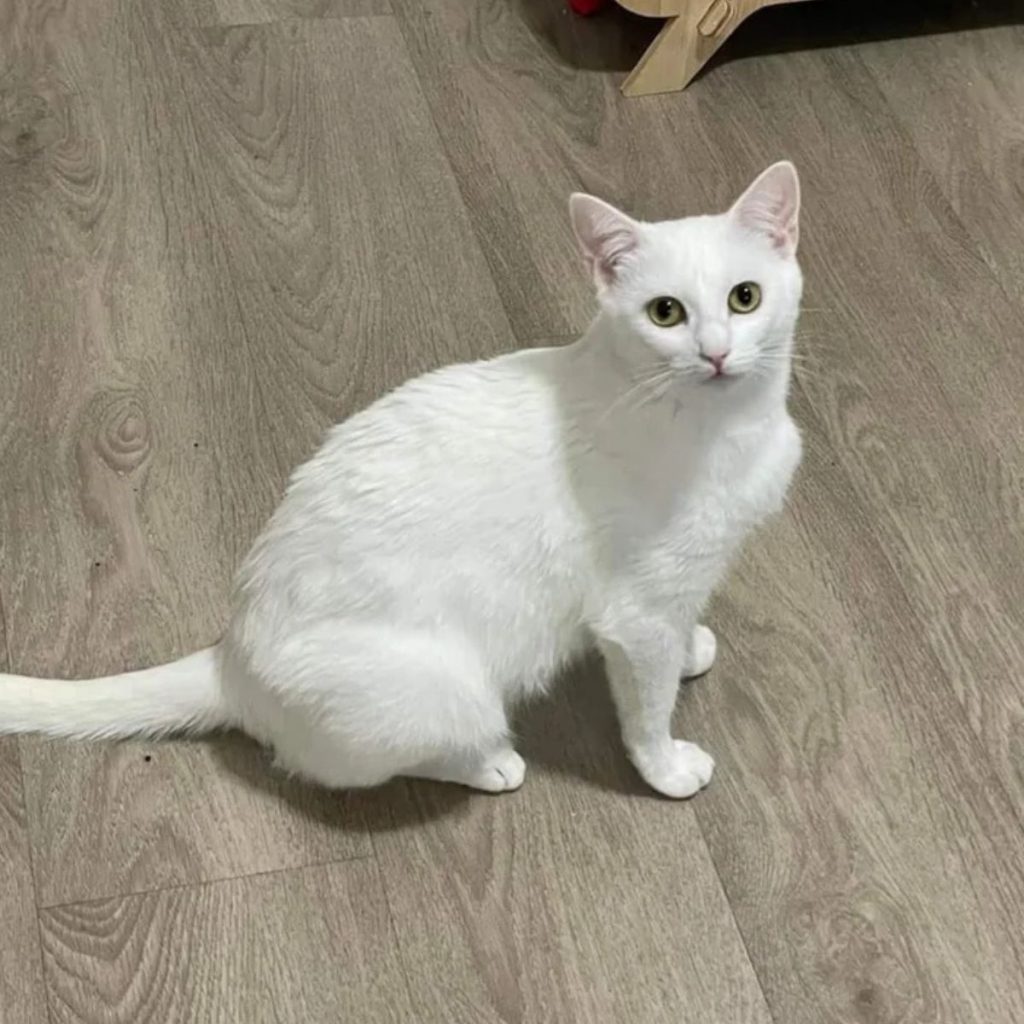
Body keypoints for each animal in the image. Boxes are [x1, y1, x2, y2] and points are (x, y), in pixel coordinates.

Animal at [0, 161, 798, 798]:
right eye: (665, 312)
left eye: (745, 297)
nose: (716, 353)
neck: (727, 428)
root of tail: (233, 657)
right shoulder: (636, 612)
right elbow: (647, 707)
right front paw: (667, 768)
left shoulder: (678, 590)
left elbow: (677, 638)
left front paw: (693, 649)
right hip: (447, 692)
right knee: (357, 766)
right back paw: (489, 764)